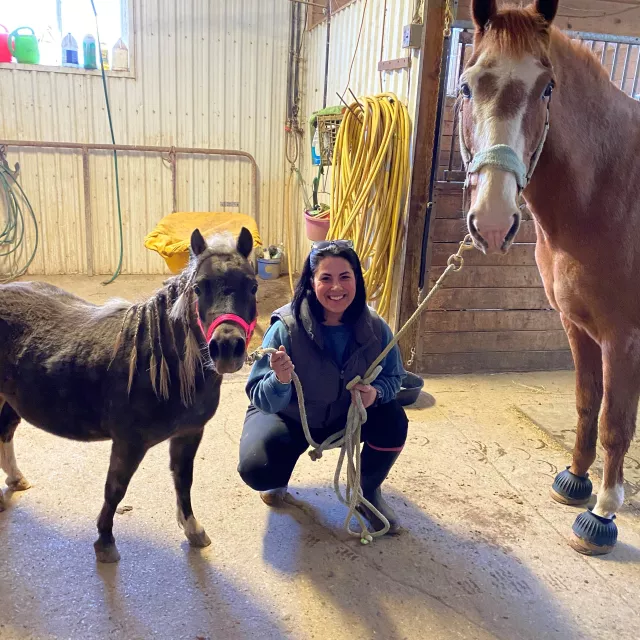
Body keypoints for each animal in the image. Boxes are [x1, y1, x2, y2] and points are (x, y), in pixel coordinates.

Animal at [0, 228, 258, 564]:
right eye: (199, 287)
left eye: (252, 286)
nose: (227, 348)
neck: (160, 365)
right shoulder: (128, 442)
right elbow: (115, 488)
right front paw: (105, 542)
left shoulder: (190, 433)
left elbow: (183, 480)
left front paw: (193, 529)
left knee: (5, 430)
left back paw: (16, 479)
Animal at [458, 0, 640, 552]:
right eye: (467, 86)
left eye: (547, 88)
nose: (493, 222)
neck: (612, 190)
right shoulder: (576, 325)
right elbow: (586, 402)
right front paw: (575, 481)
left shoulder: (624, 337)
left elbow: (615, 421)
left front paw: (602, 514)